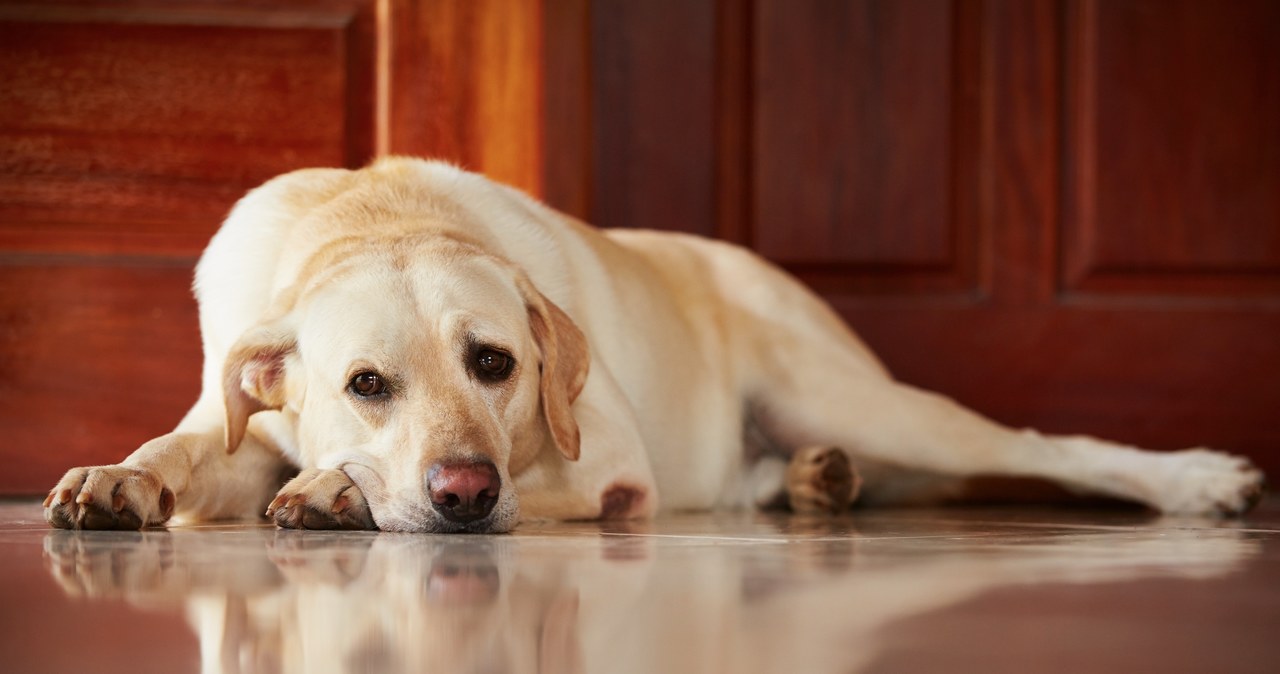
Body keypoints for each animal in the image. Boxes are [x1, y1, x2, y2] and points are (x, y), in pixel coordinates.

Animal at [45, 156, 1264, 532]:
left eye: (496, 363)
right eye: (365, 383)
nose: (461, 491)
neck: (375, 215)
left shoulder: (610, 469)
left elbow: (542, 482)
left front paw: (337, 493)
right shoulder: (237, 422)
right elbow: (186, 447)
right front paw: (119, 476)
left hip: (856, 396)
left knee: (1044, 446)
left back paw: (1197, 479)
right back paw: (813, 483)